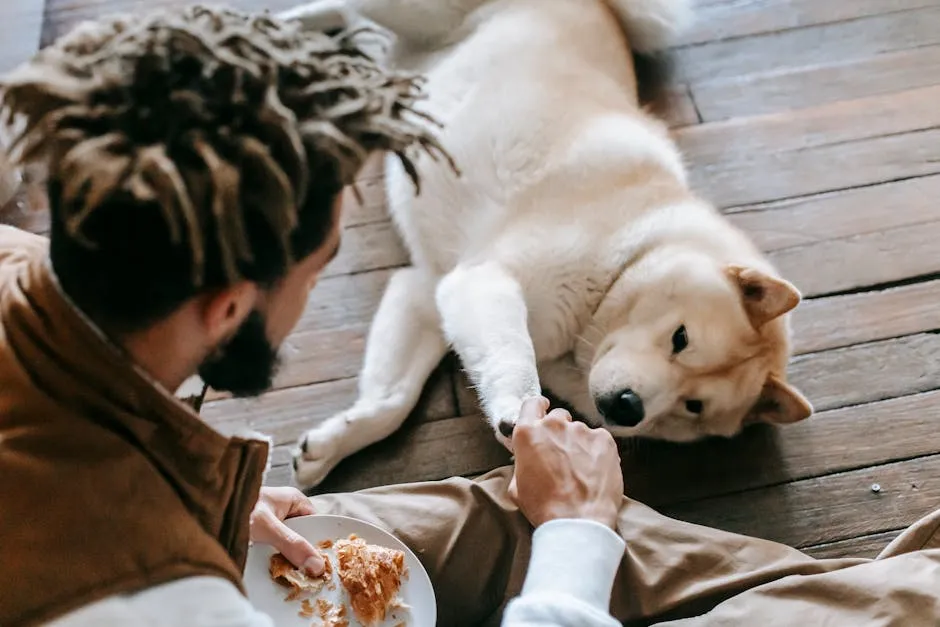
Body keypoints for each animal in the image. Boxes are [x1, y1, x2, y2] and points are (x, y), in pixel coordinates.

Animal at [282, 0, 812, 488]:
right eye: (681, 339)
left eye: (693, 405)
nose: (629, 408)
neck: (621, 260)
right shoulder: (484, 280)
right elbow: (512, 358)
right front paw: (518, 410)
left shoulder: (430, 290)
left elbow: (392, 399)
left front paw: (330, 446)